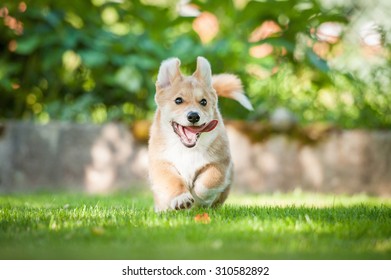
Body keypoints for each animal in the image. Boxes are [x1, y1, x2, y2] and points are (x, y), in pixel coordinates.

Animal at [149, 55, 253, 211]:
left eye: (203, 102)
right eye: (178, 100)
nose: (193, 116)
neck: (186, 150)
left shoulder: (219, 164)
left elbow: (206, 184)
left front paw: (198, 200)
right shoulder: (162, 164)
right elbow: (172, 181)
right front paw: (182, 199)